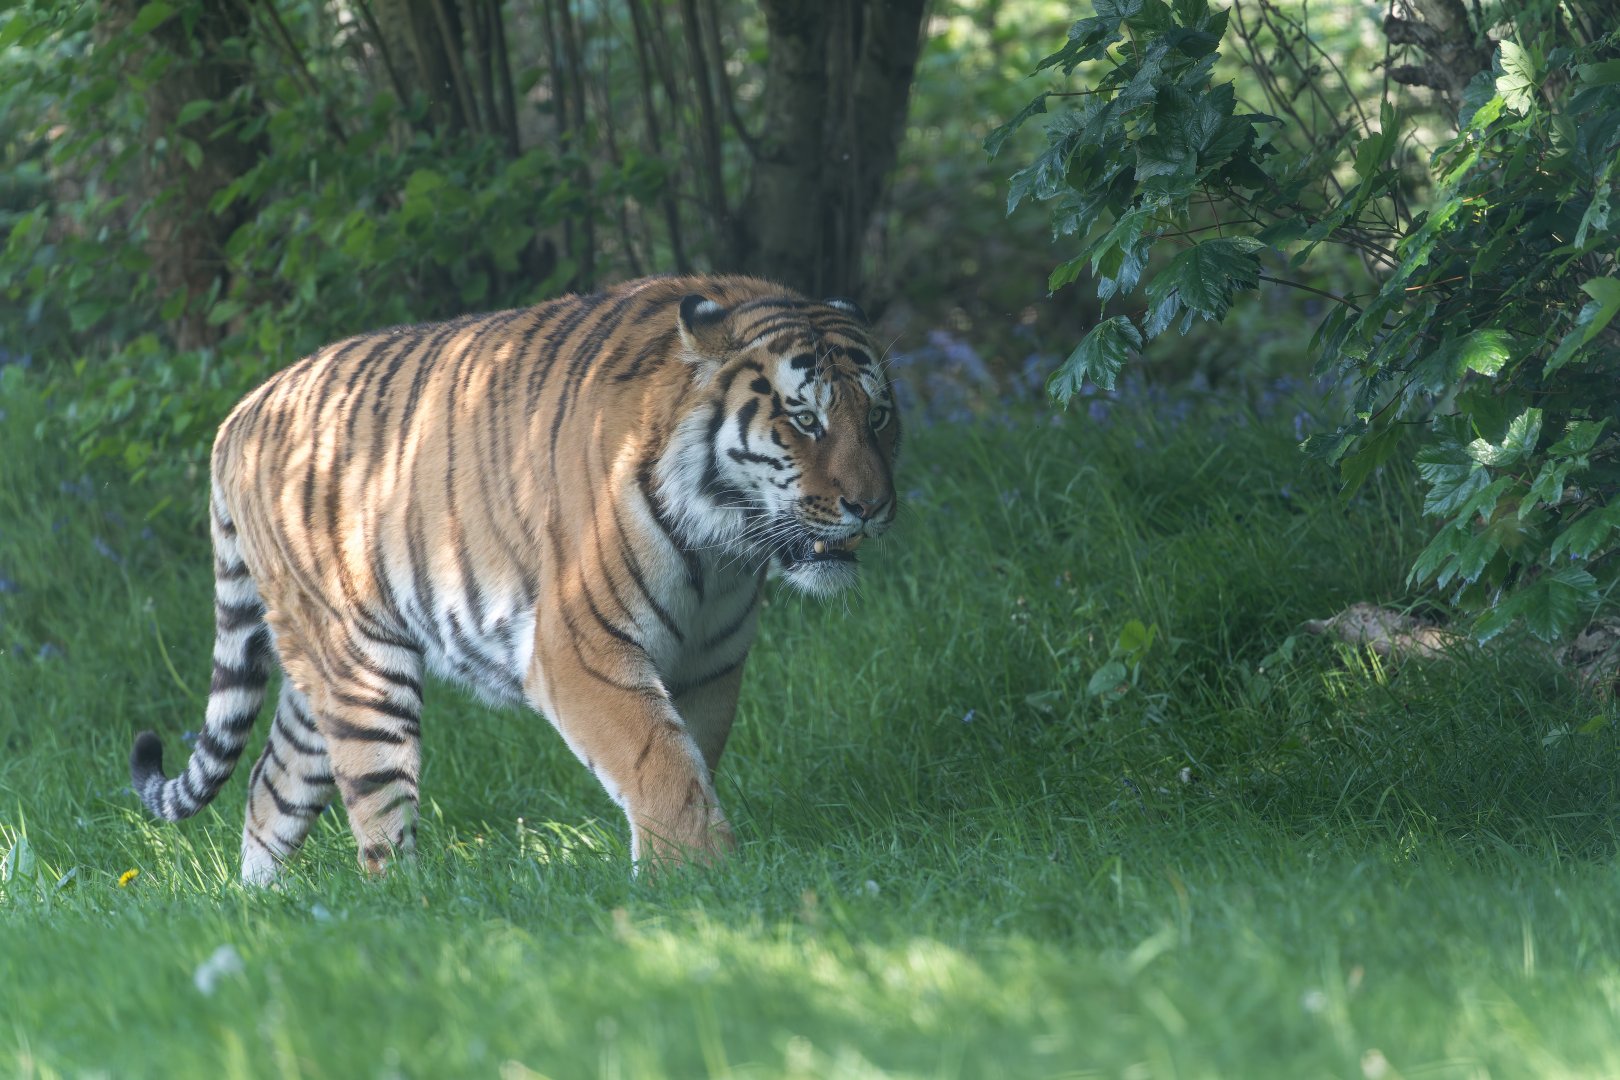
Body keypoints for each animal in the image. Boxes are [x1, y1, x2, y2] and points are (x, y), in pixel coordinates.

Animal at [127, 274, 900, 883]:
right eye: (805, 420)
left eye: (879, 418)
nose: (872, 507)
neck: (722, 550)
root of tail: (240, 414)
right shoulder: (580, 648)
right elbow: (658, 762)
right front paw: (700, 878)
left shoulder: (711, 664)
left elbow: (689, 759)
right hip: (362, 668)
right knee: (376, 819)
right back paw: (410, 903)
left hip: (314, 669)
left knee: (271, 786)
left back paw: (263, 913)